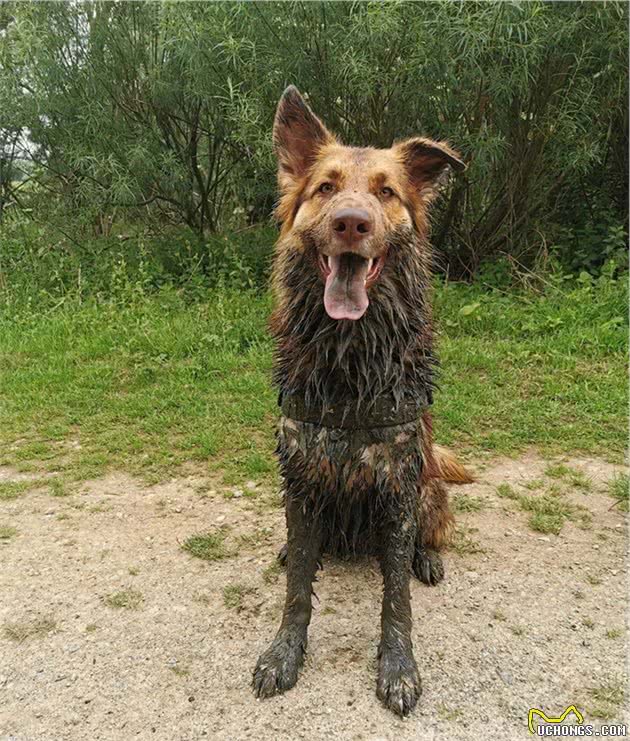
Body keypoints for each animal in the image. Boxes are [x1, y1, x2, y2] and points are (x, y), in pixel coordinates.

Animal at [254, 86, 472, 716]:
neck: (350, 360)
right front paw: (284, 654)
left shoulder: (398, 482)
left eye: (386, 192)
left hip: (428, 484)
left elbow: (395, 597)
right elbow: (297, 590)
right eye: (325, 187)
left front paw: (398, 667)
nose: (352, 222)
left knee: (430, 529)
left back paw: (428, 557)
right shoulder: (302, 477)